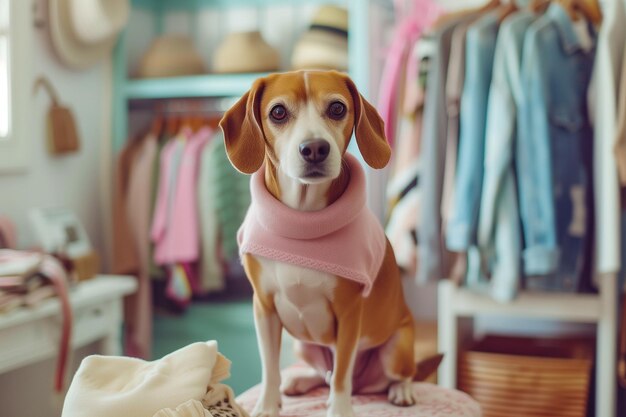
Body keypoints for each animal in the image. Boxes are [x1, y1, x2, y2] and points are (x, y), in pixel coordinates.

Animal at [218, 70, 424, 416]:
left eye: (337, 108)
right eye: (278, 112)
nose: (314, 148)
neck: (303, 223)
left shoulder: (349, 314)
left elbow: (342, 376)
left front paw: (339, 410)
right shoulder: (264, 308)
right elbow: (269, 368)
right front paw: (268, 405)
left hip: (396, 348)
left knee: (389, 376)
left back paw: (402, 390)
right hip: (304, 345)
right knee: (324, 374)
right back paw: (299, 381)